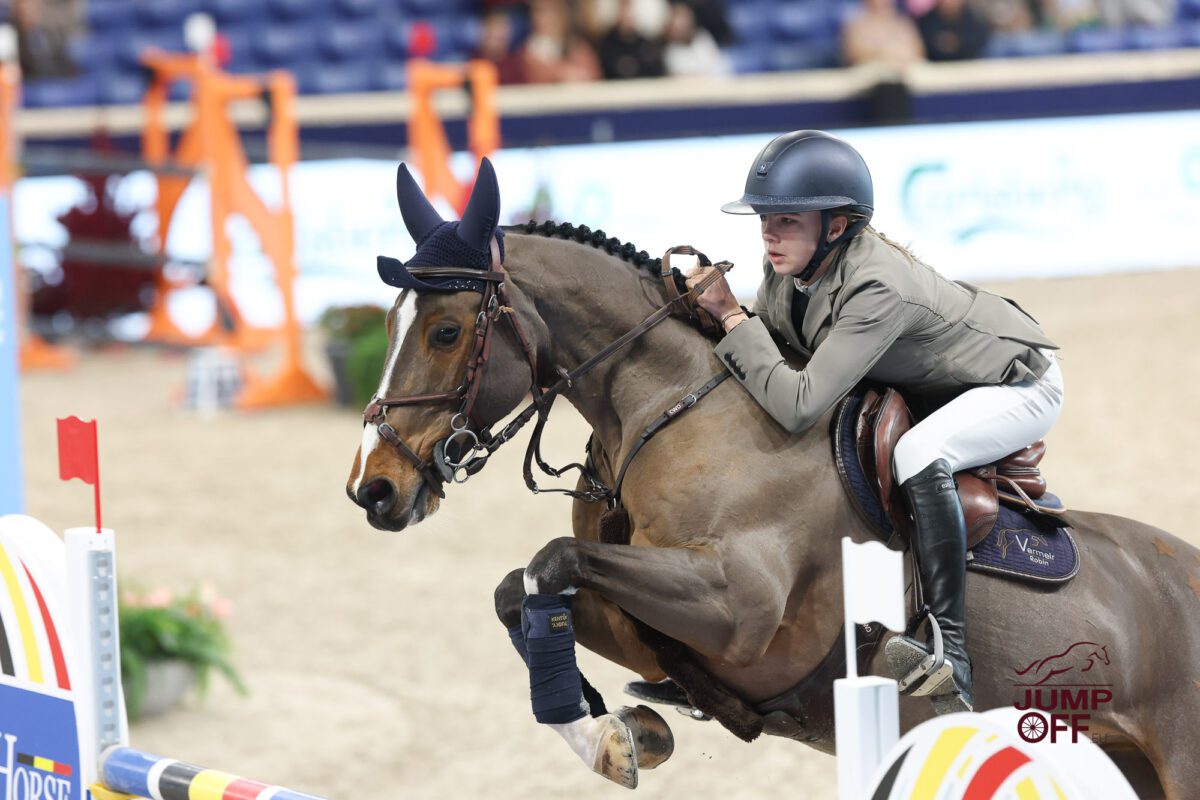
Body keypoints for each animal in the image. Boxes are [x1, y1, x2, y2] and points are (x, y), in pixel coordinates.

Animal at [346, 167, 1200, 799]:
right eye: (388, 325)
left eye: (446, 330)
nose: (372, 489)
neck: (670, 410)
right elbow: (520, 588)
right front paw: (624, 732)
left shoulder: (740, 614)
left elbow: (550, 560)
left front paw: (608, 737)